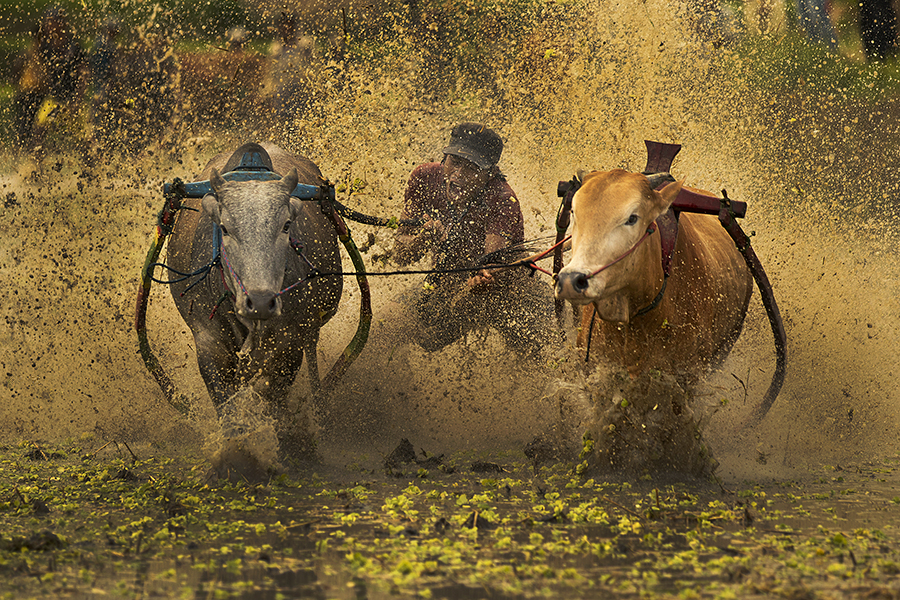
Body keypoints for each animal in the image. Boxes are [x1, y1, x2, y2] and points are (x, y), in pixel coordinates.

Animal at [165, 142, 342, 453]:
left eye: (286, 225)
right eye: (224, 227)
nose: (260, 302)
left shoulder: (289, 341)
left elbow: (270, 397)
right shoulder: (208, 339)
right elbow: (228, 406)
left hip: (310, 332)